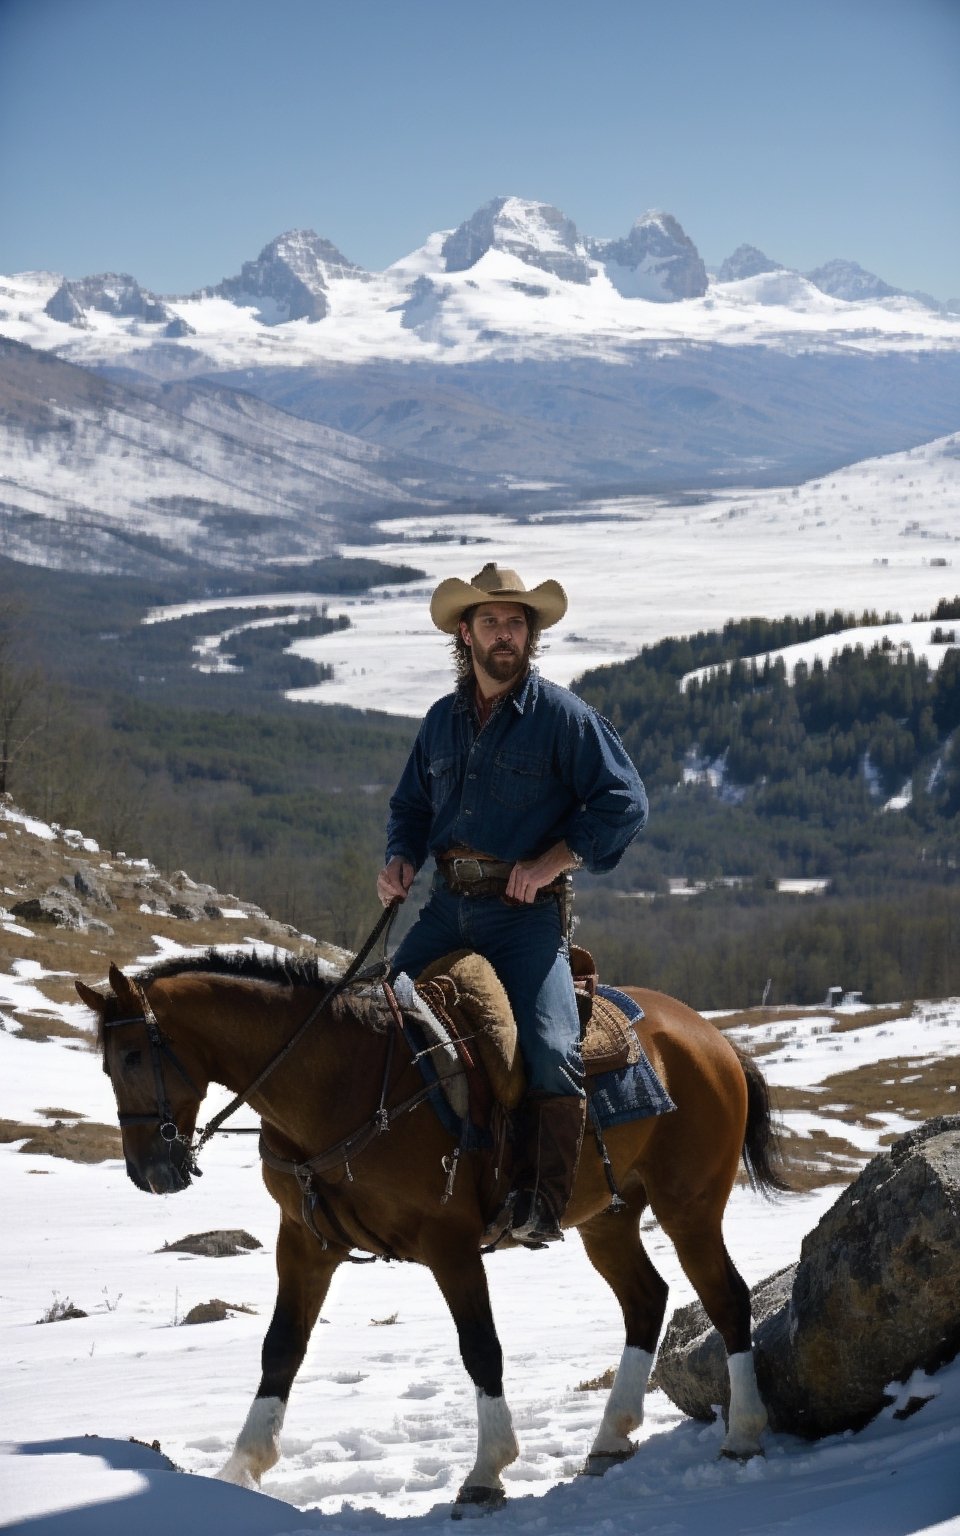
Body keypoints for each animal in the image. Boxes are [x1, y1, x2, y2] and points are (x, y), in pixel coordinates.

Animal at [78, 946, 786, 1511]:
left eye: (136, 1056)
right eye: (107, 1067)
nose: (151, 1173)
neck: (342, 1084)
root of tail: (714, 1041)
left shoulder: (449, 1244)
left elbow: (481, 1349)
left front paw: (487, 1472)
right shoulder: (305, 1243)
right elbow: (280, 1349)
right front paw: (239, 1472)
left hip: (689, 1206)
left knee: (727, 1298)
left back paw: (744, 1433)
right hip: (608, 1220)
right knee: (646, 1299)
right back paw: (612, 1437)